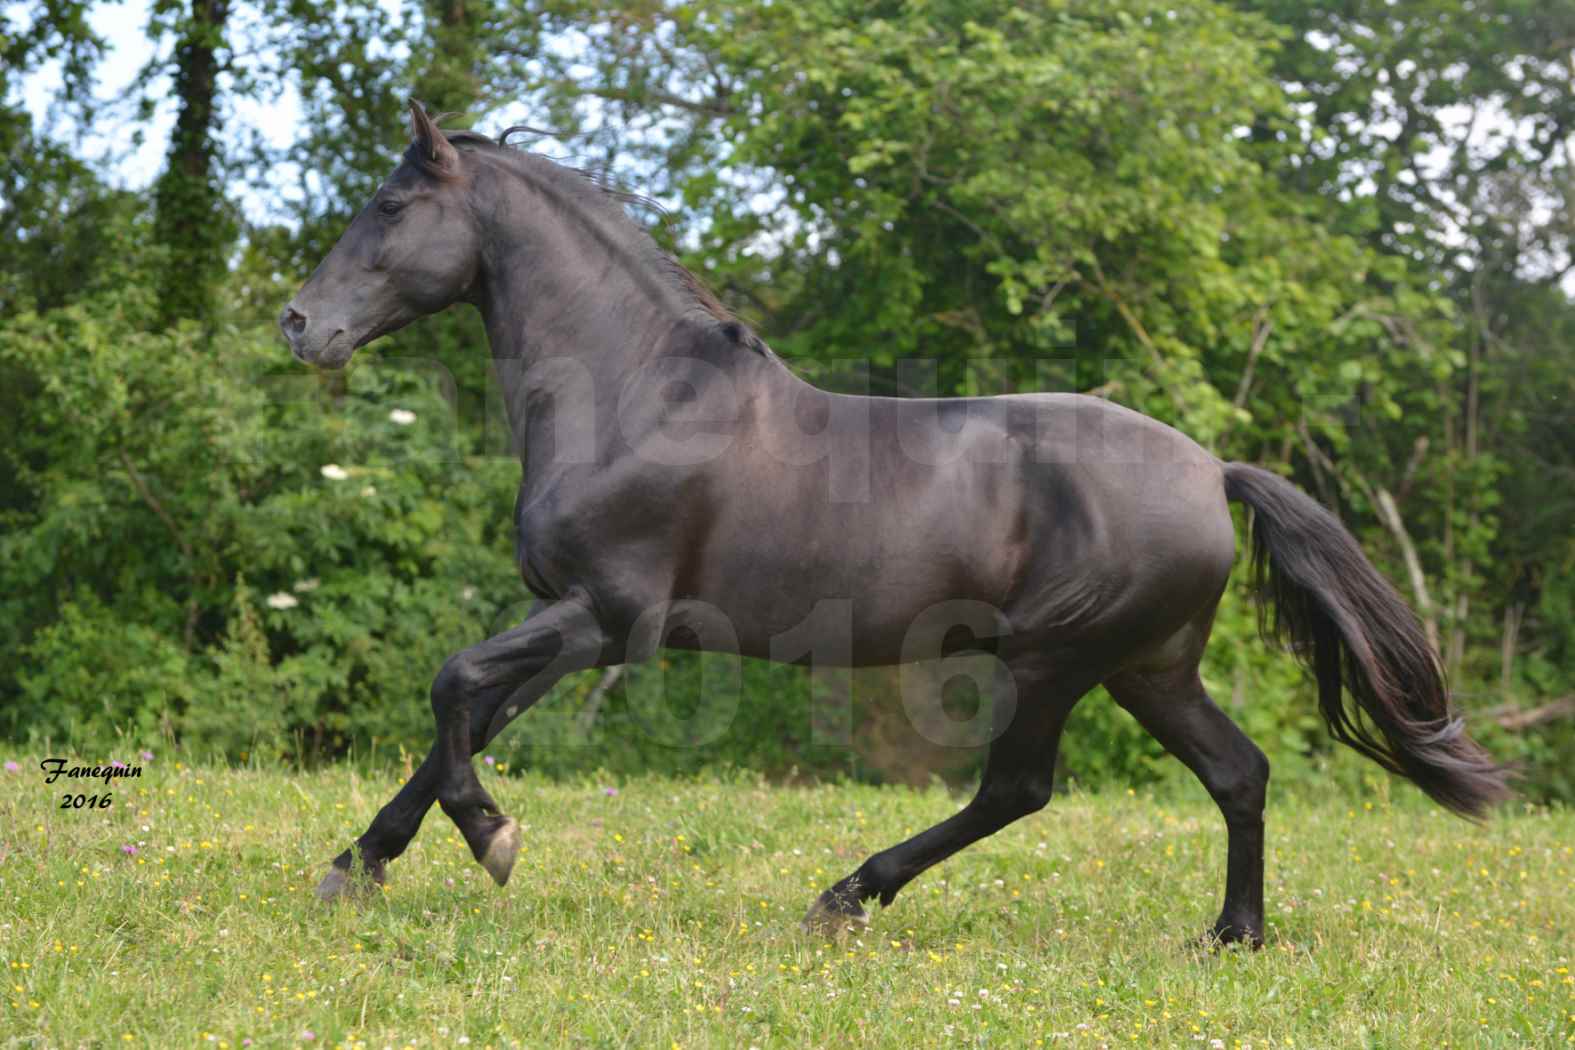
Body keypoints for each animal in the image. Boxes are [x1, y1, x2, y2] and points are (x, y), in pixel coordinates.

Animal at [280, 104, 1499, 944]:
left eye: (390, 208)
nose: (299, 325)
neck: (634, 395)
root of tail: (1213, 471)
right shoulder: (574, 623)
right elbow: (468, 718)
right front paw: (360, 865)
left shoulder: (609, 617)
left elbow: (451, 686)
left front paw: (492, 841)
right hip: (1148, 666)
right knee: (1238, 773)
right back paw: (1232, 936)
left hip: (1058, 658)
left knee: (1016, 790)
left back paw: (844, 896)